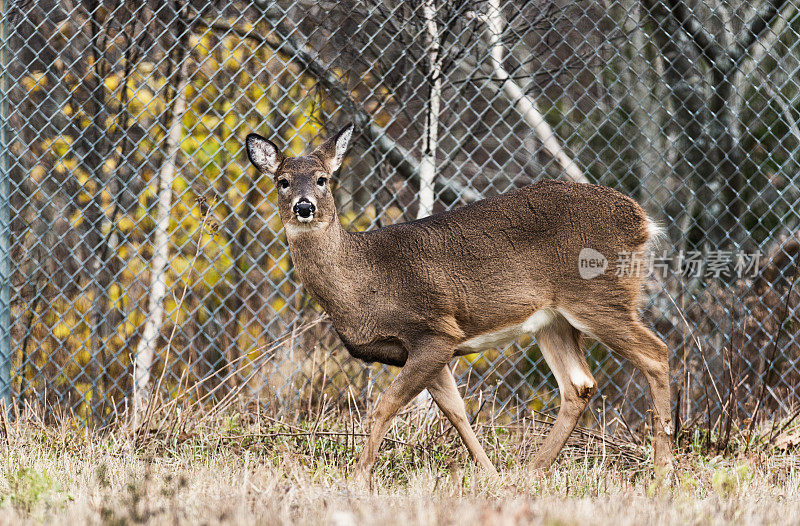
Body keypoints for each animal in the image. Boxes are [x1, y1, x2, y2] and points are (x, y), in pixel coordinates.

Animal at [245, 122, 676, 482]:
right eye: (282, 181)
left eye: (322, 179)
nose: (304, 206)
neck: (363, 282)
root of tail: (642, 220)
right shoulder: (427, 349)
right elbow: (457, 412)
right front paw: (491, 475)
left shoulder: (434, 330)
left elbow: (385, 406)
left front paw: (358, 477)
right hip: (554, 319)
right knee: (579, 384)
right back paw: (530, 472)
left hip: (598, 296)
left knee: (656, 353)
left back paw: (661, 474)